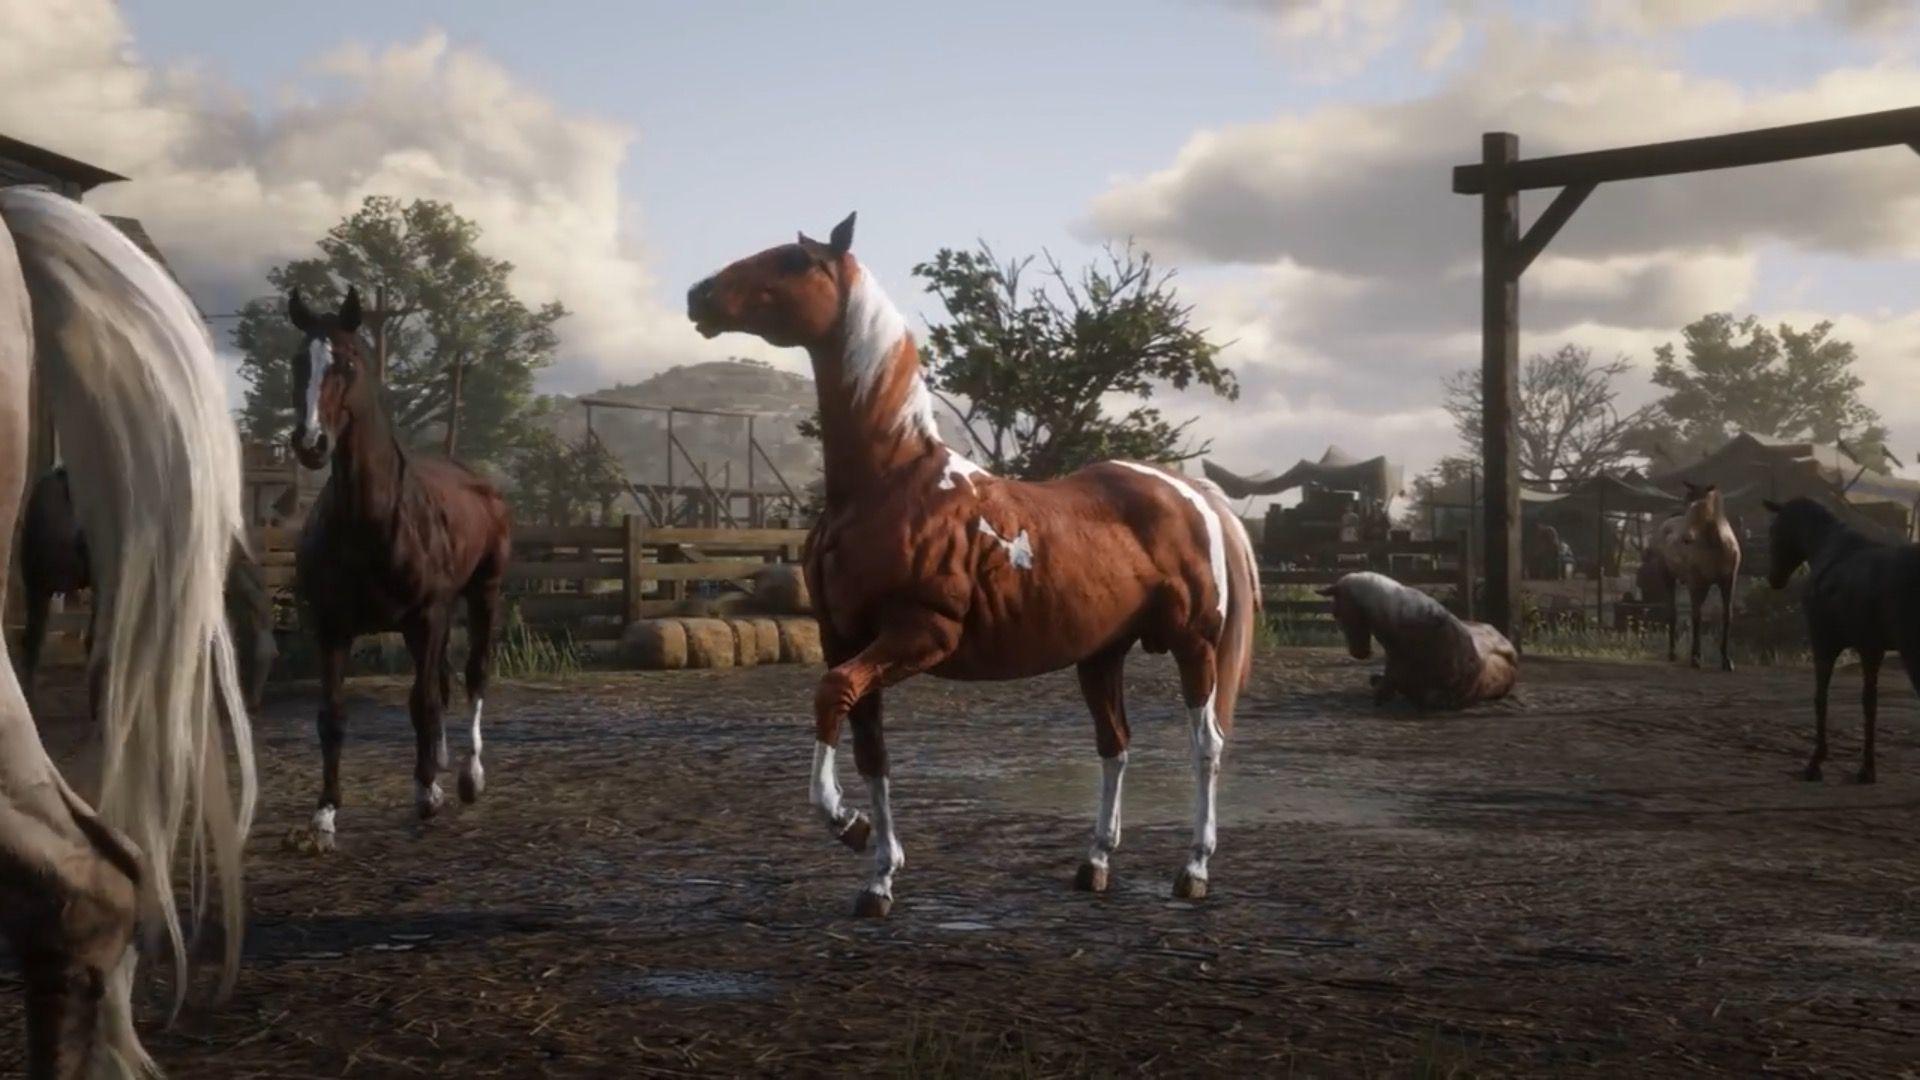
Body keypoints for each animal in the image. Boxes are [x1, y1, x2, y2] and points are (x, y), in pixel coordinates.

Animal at [285, 288, 512, 850]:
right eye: (298, 360)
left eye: (346, 362)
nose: (310, 443)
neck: (372, 521)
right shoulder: (331, 628)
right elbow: (332, 716)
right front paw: (325, 814)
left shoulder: (427, 616)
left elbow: (421, 700)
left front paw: (427, 792)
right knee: (446, 682)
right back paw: (442, 759)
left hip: (482, 594)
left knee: (472, 676)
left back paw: (467, 774)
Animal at [687, 214, 1259, 915]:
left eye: (793, 261)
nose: (698, 295)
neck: (888, 485)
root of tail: (1190, 492)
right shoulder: (843, 638)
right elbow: (870, 749)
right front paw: (879, 878)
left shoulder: (921, 633)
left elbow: (833, 695)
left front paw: (849, 825)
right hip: (1101, 654)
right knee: (1115, 745)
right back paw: (1094, 862)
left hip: (1193, 645)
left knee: (1205, 745)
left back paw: (1194, 869)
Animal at [1648, 481, 1740, 670]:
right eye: (1687, 503)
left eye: (1701, 505)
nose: (1684, 537)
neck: (1717, 546)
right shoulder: (1696, 583)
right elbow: (1696, 617)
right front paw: (1696, 658)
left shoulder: (1728, 581)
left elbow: (1727, 615)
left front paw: (1726, 660)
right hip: (1668, 578)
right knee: (1673, 612)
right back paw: (1672, 653)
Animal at [1762, 496, 1920, 784]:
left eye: (1773, 531)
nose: (1774, 579)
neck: (1831, 551)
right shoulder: (1872, 649)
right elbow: (1870, 703)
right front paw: (1867, 768)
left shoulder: (1824, 644)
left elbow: (1821, 698)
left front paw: (1815, 763)